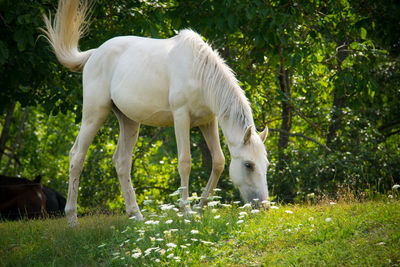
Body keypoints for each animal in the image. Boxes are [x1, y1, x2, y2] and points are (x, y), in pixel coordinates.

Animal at [42, 0, 270, 227]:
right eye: (248, 165)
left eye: (266, 164)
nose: (264, 207)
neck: (199, 72)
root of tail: (94, 53)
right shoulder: (181, 117)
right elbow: (185, 162)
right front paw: (186, 211)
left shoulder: (208, 121)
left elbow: (219, 161)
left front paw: (201, 206)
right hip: (94, 114)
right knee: (77, 156)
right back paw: (72, 219)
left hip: (129, 121)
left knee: (122, 161)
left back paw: (136, 215)